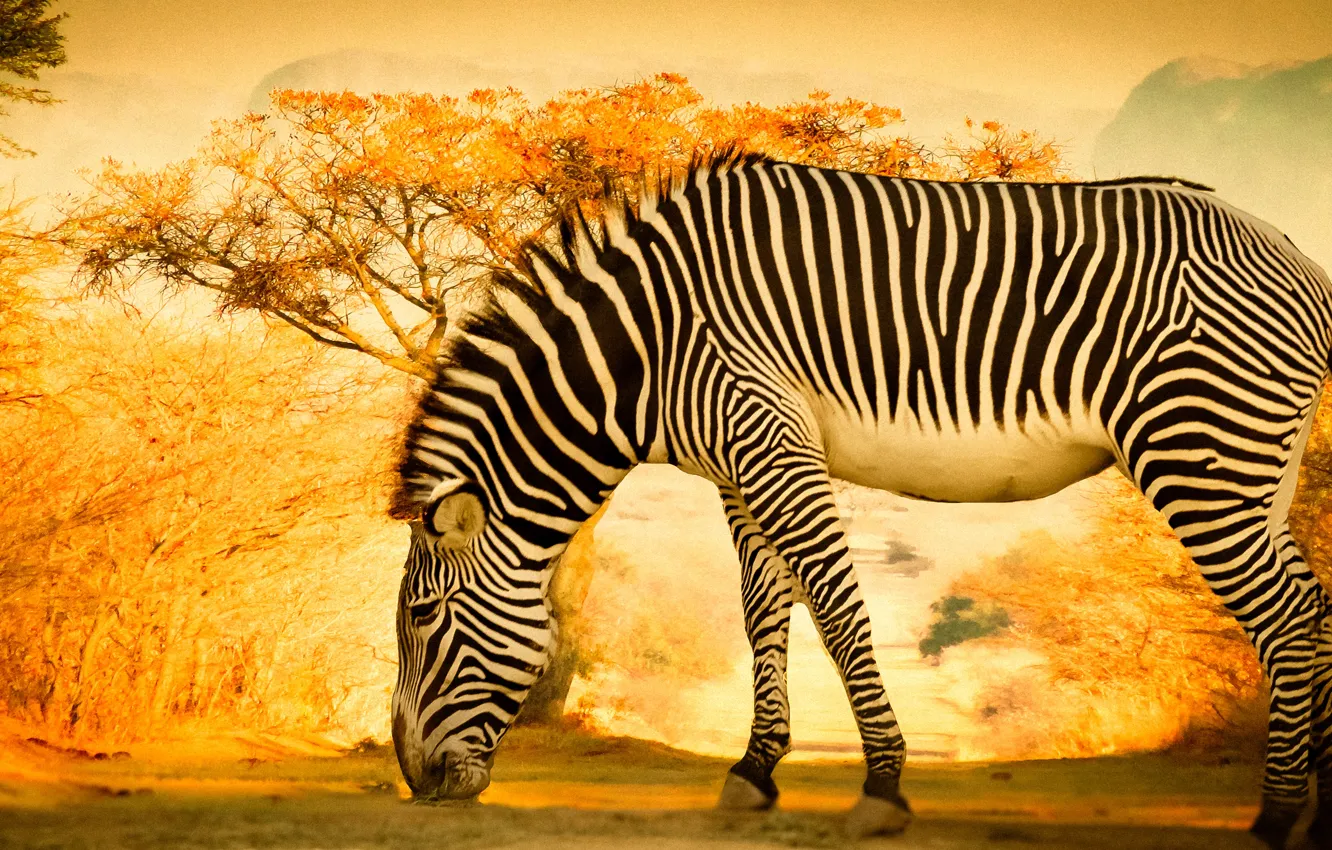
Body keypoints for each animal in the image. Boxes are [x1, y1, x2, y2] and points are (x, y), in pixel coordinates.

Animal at [389, 148, 1332, 847]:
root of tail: (1291, 252)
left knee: (1288, 619)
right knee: (1315, 610)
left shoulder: (772, 439)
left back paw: (1277, 813)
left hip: (1200, 450)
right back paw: (1318, 800)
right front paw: (755, 770)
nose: (416, 783)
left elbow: (839, 615)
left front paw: (882, 785)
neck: (649, 347)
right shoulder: (738, 468)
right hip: (1261, 464)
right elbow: (762, 614)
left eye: (424, 620)